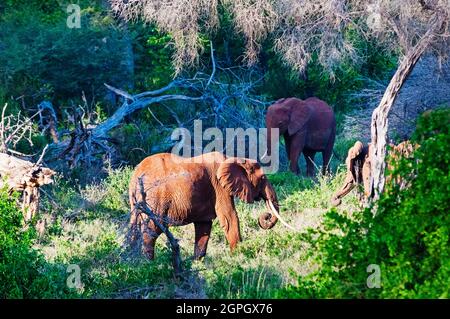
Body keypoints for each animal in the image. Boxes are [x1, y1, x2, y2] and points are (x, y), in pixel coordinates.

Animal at [128, 152, 294, 260]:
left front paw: (197, 263)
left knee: (133, 226)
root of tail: (136, 174)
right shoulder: (220, 187)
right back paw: (149, 263)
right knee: (151, 230)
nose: (266, 216)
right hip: (155, 199)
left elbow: (204, 226)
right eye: (263, 177)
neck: (234, 159)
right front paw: (239, 257)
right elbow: (230, 218)